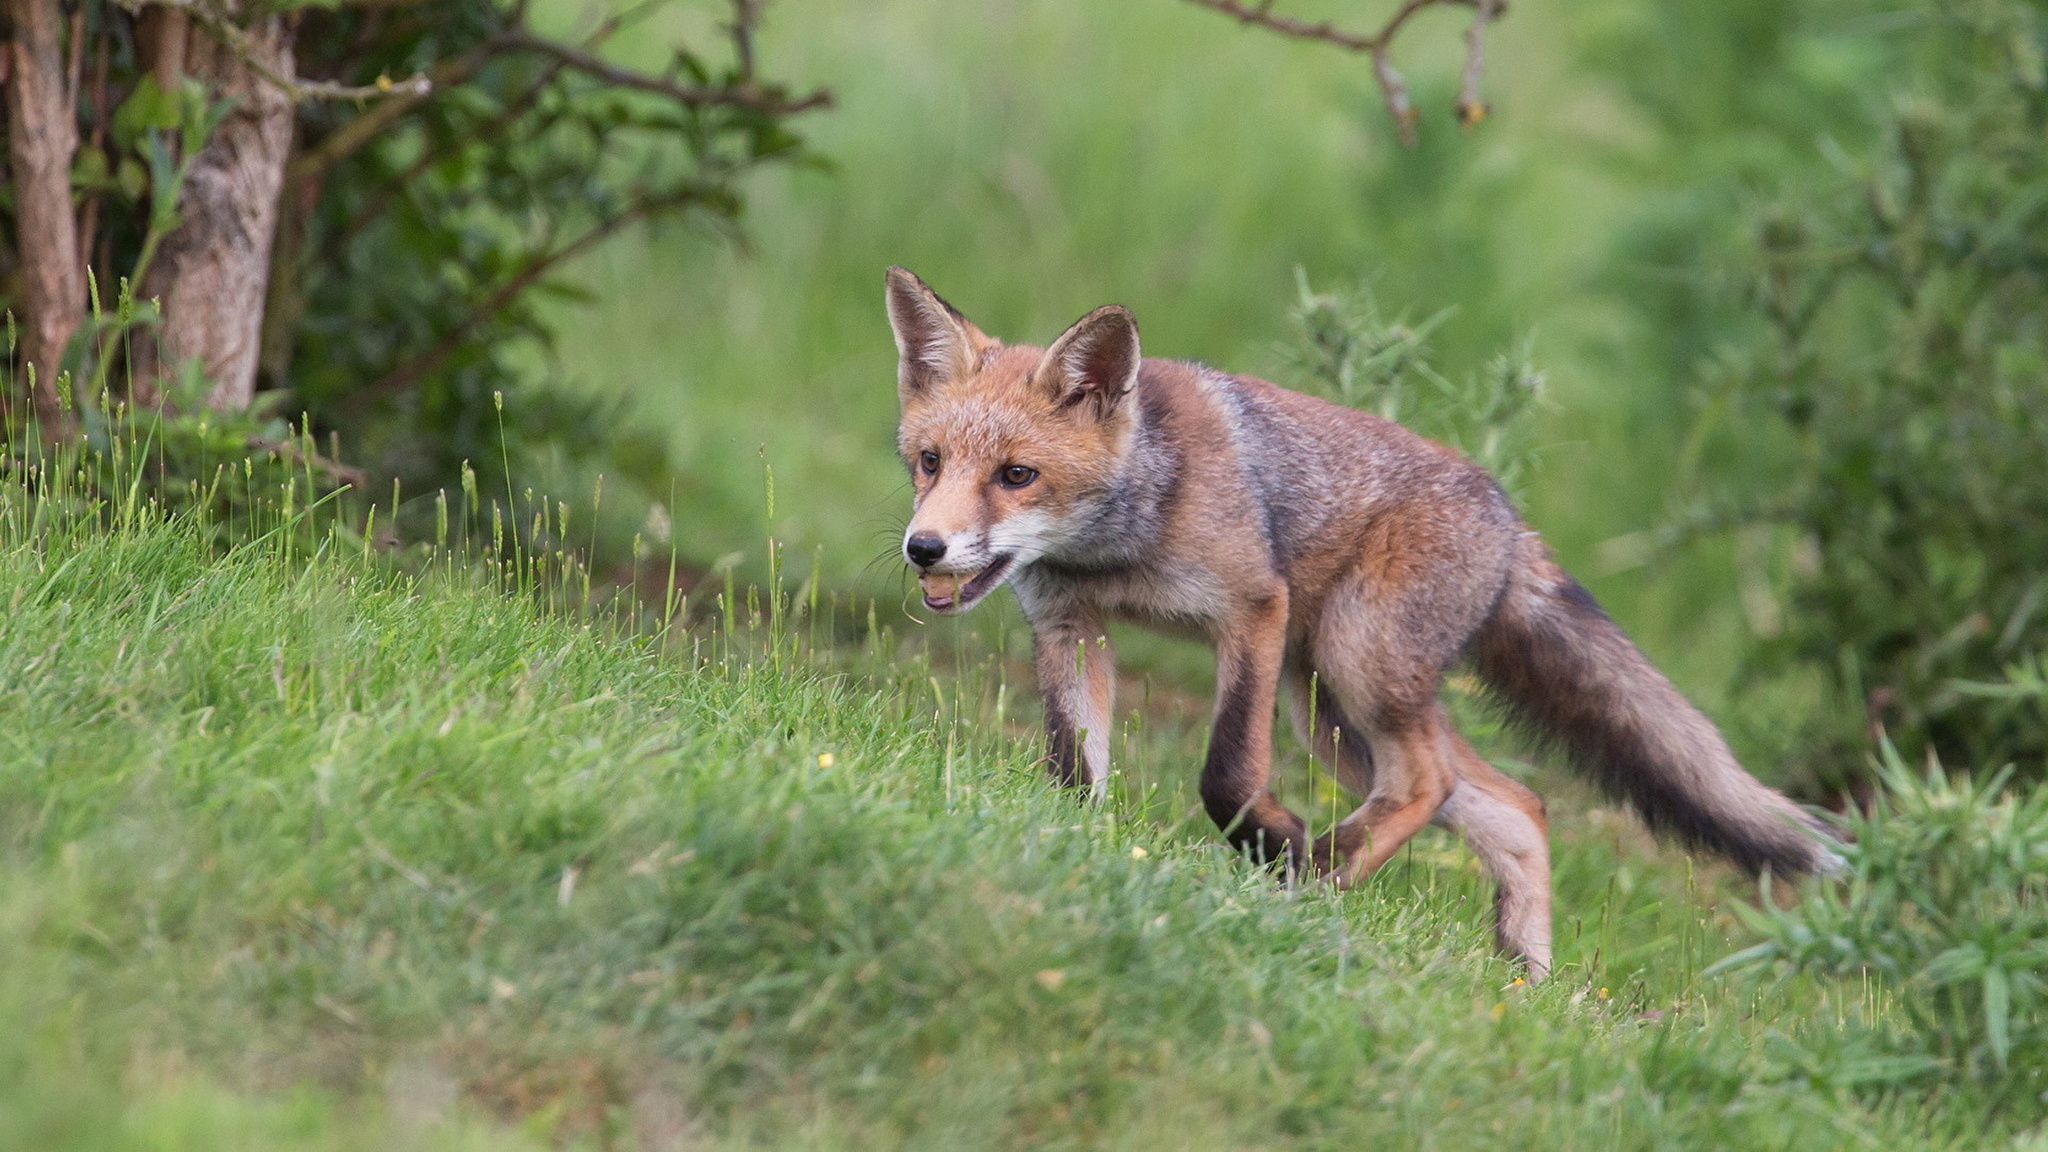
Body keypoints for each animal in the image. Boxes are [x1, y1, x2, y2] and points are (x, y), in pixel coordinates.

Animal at [880, 264, 1843, 971]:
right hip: (1333, 711)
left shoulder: (1251, 612)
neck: (1120, 543)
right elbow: (1074, 767)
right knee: (1511, 801)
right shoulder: (1071, 627)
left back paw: (1311, 874)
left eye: (1017, 476)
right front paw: (1075, 848)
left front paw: (1269, 837)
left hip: (1353, 668)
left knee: (1428, 783)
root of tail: (1509, 516)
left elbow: (1227, 772)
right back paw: (1524, 979)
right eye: (929, 462)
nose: (924, 549)